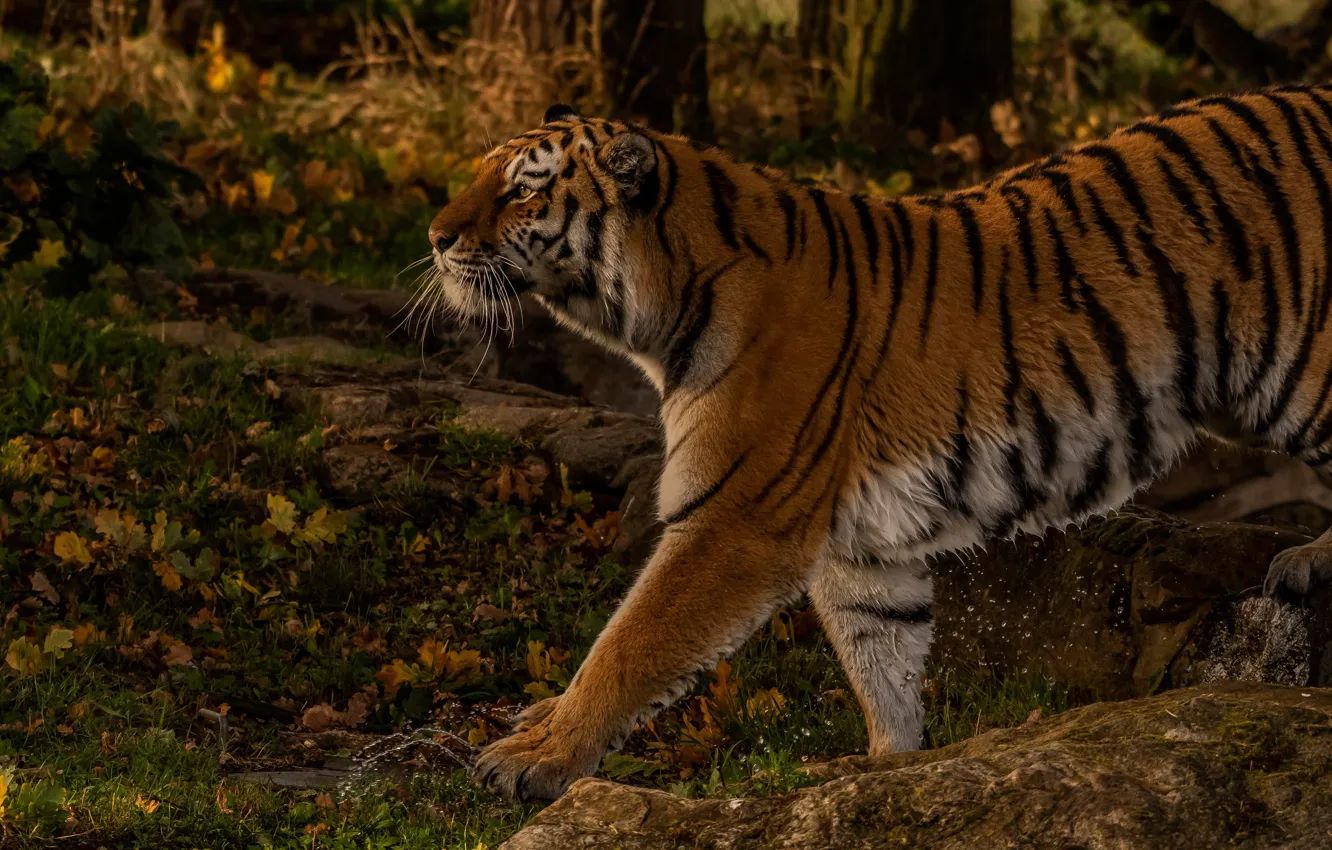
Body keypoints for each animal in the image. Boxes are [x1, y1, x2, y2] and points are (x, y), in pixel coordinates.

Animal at [424, 91, 1332, 801]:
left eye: (520, 191)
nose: (434, 237)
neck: (657, 306)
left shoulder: (736, 520)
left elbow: (629, 645)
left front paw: (534, 756)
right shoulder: (857, 542)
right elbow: (880, 657)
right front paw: (888, 769)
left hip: (1300, 370)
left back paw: (1308, 562)